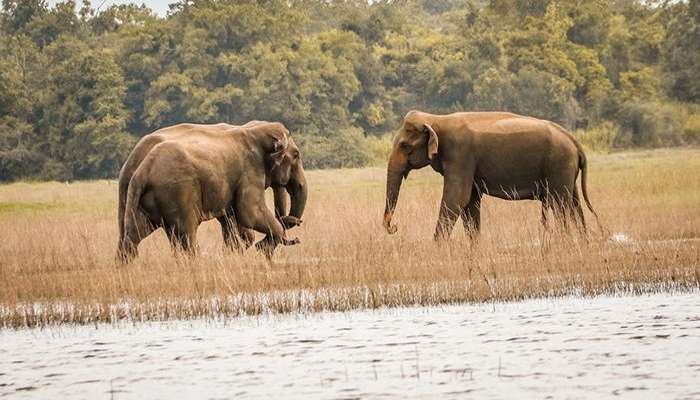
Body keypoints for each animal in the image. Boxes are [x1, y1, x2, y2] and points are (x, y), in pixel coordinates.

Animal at [116, 122, 308, 262]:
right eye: (296, 155)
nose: (298, 222)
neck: (252, 130)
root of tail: (142, 170)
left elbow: (234, 220)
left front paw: (237, 253)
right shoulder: (249, 171)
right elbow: (249, 213)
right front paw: (260, 249)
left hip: (139, 199)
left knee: (134, 236)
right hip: (179, 192)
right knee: (186, 234)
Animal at [382, 109, 600, 241]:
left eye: (404, 145)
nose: (395, 227)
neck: (437, 119)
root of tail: (574, 141)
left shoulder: (460, 155)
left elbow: (456, 199)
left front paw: (437, 249)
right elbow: (470, 202)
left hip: (558, 164)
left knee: (561, 203)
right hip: (565, 169)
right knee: (574, 203)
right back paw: (582, 242)